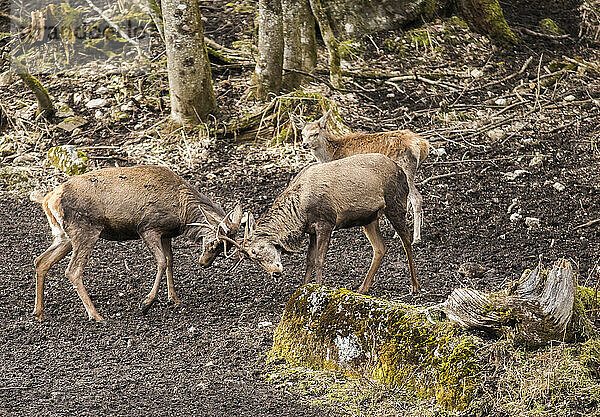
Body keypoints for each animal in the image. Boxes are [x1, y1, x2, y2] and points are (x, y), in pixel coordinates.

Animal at [31, 164, 243, 320]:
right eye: (216, 243)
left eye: (225, 247)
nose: (204, 263)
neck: (182, 213)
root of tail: (48, 200)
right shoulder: (148, 227)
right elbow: (161, 261)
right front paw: (146, 303)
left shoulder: (166, 234)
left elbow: (170, 261)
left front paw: (174, 298)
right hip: (85, 230)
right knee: (72, 270)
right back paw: (96, 315)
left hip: (63, 235)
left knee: (41, 261)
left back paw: (39, 313)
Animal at [241, 154, 420, 294]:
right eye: (252, 259)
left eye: (254, 251)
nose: (275, 273)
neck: (299, 212)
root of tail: (401, 172)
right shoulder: (311, 230)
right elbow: (309, 260)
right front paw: (303, 287)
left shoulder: (326, 222)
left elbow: (319, 259)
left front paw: (318, 288)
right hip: (369, 219)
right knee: (381, 247)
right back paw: (362, 288)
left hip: (395, 205)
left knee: (406, 239)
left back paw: (414, 285)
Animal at [296, 111, 428, 247]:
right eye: (303, 134)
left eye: (315, 133)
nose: (304, 144)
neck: (332, 155)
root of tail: (423, 146)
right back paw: (398, 233)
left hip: (405, 169)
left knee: (416, 198)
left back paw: (416, 238)